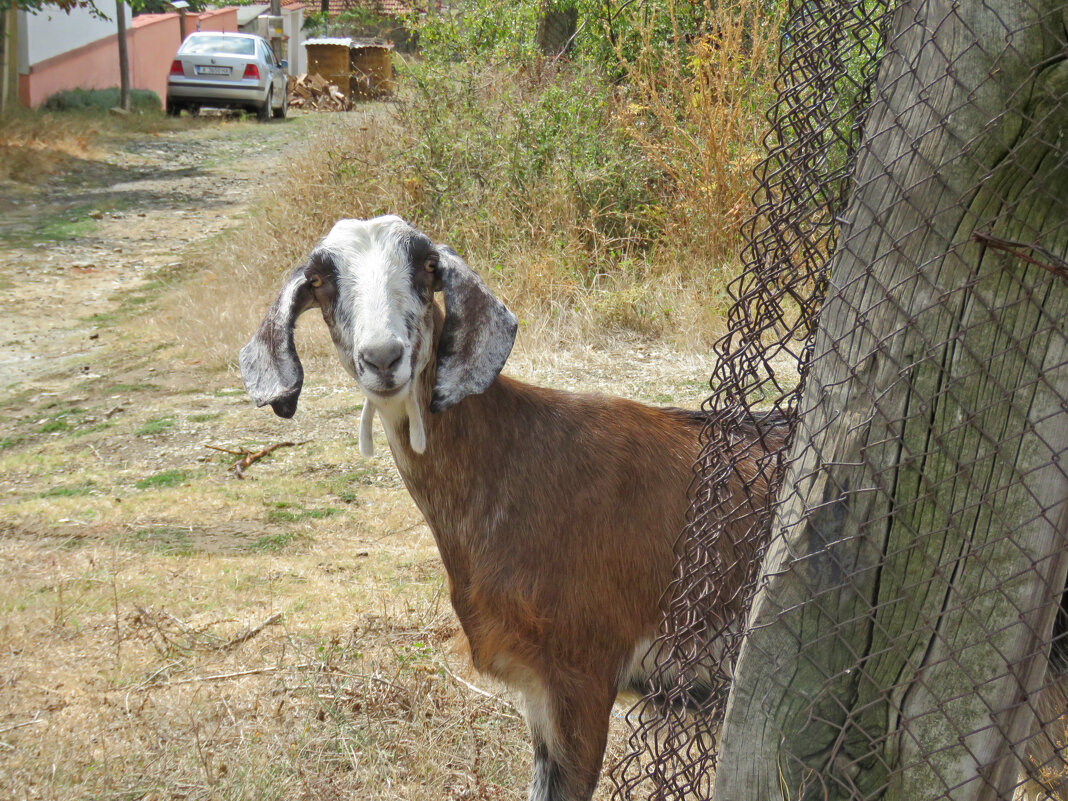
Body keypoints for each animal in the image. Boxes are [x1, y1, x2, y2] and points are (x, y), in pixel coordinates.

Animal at [242, 216, 790, 798]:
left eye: (427, 266)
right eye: (321, 280)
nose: (383, 357)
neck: (515, 458)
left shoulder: (581, 672)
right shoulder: (538, 687)